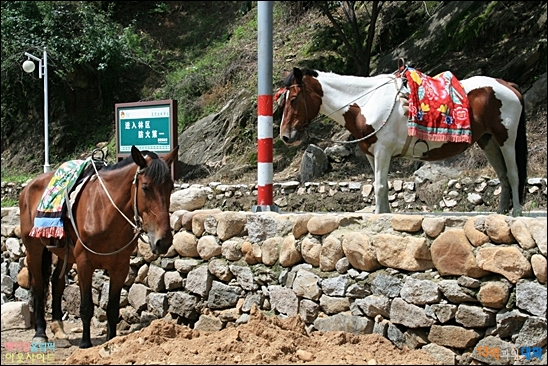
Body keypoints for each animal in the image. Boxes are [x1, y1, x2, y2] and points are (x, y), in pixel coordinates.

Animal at [18, 144, 178, 348]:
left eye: (170, 187)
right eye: (145, 187)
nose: (163, 241)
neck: (104, 211)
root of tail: (28, 187)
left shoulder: (120, 266)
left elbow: (112, 308)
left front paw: (111, 340)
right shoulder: (85, 263)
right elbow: (86, 307)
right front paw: (85, 343)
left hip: (66, 254)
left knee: (56, 281)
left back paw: (59, 329)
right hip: (34, 249)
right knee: (39, 284)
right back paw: (40, 332)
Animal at [278, 66, 528, 216]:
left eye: (294, 98)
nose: (285, 136)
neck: (367, 102)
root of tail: (508, 85)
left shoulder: (383, 152)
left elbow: (379, 187)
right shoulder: (372, 154)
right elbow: (380, 187)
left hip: (506, 139)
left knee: (513, 174)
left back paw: (516, 213)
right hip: (488, 141)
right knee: (503, 175)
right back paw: (501, 212)